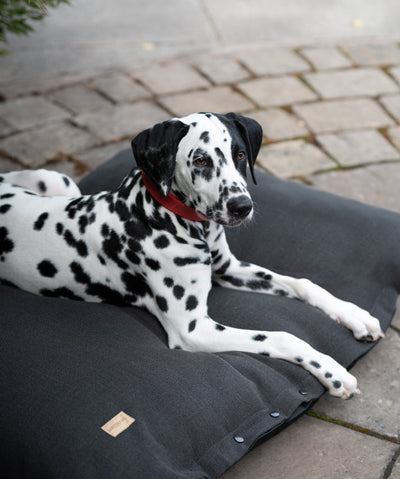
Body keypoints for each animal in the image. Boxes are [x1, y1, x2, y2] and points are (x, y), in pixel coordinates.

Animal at [0, 111, 384, 398]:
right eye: (200, 160)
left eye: (240, 154)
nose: (242, 206)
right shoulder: (193, 328)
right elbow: (282, 336)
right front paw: (332, 371)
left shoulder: (229, 268)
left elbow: (303, 283)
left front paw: (353, 314)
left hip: (58, 181)